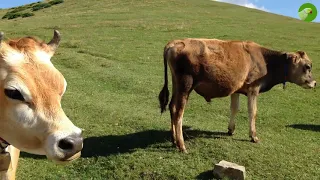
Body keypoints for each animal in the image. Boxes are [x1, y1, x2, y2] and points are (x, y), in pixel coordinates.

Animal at [158, 37, 316, 152]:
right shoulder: (253, 89)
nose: (314, 83)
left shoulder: (236, 90)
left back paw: (173, 139)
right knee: (179, 112)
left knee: (172, 107)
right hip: (186, 85)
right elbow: (253, 112)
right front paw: (253, 136)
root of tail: (175, 42)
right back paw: (181, 145)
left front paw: (231, 130)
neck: (266, 60)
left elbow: (234, 109)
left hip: (177, 84)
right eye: (307, 66)